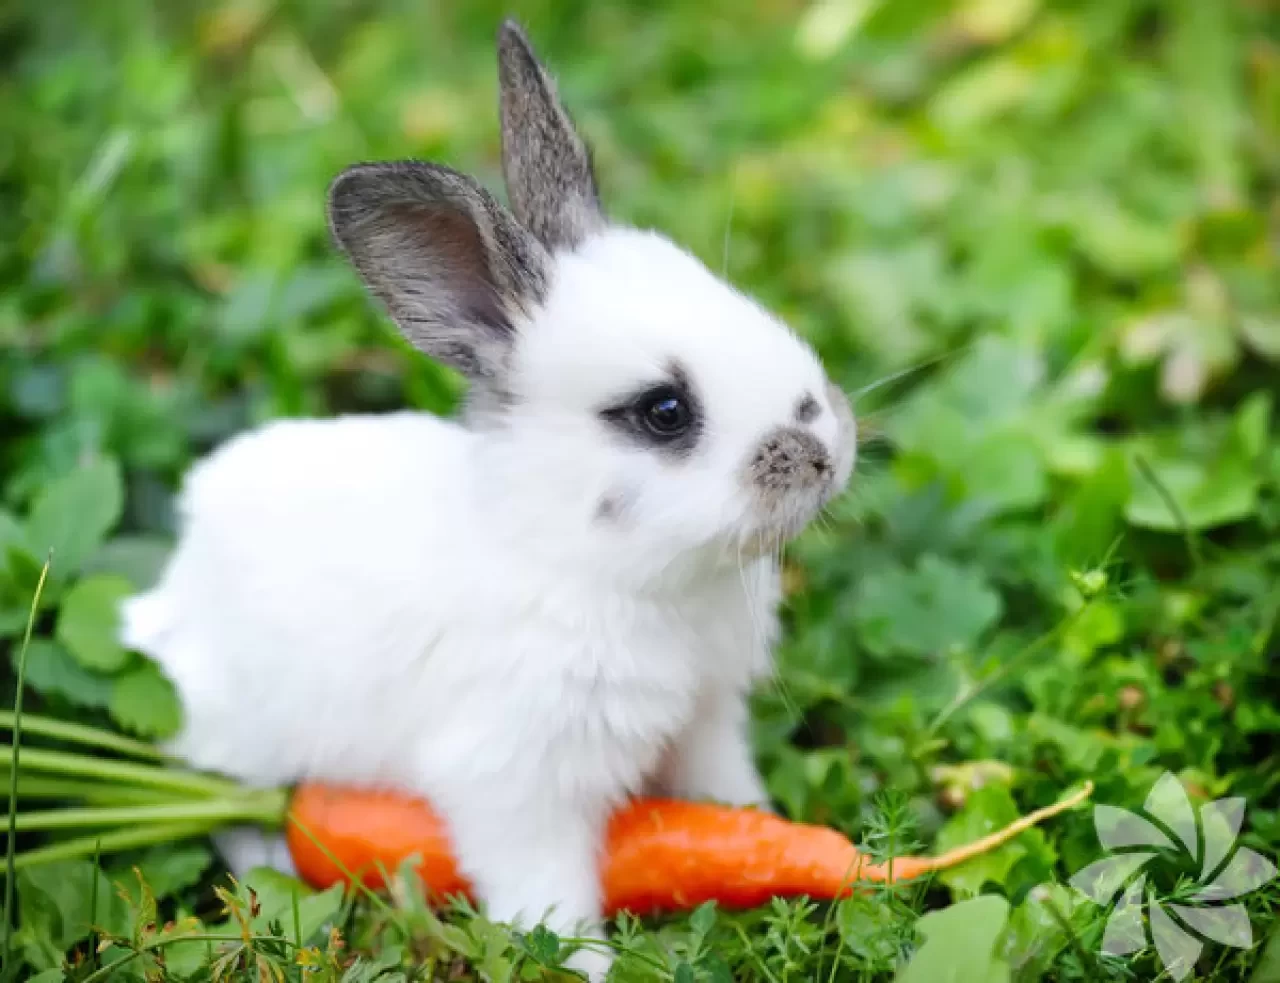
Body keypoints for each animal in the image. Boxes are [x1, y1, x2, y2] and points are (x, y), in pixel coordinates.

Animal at [120, 19, 855, 977]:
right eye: (664, 411)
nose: (825, 451)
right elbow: (550, 894)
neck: (605, 568)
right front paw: (587, 964)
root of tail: (171, 596)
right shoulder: (518, 784)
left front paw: (767, 834)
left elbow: (724, 801)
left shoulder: (705, 721)